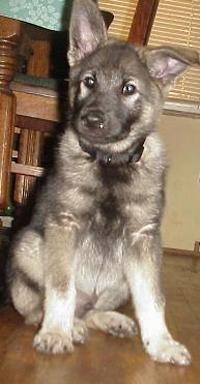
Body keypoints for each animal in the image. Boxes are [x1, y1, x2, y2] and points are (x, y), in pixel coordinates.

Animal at [9, 0, 200, 364]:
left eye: (129, 88)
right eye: (89, 81)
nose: (91, 120)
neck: (110, 162)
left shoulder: (143, 239)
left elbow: (152, 298)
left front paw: (161, 342)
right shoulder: (63, 225)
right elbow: (60, 288)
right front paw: (56, 332)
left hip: (121, 278)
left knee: (92, 310)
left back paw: (107, 320)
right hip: (29, 246)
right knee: (38, 310)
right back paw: (70, 326)